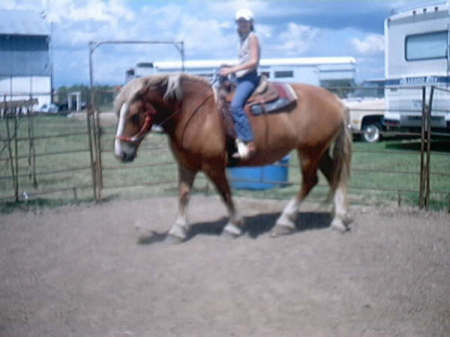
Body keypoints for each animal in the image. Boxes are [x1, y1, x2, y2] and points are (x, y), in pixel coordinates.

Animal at [112, 73, 352, 242]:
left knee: (310, 182)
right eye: (118, 114)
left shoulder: (213, 165)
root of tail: (335, 100)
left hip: (309, 151)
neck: (195, 114)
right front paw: (178, 229)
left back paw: (284, 222)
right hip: (319, 151)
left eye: (135, 115)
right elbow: (183, 195)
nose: (121, 153)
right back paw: (339, 219)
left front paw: (234, 225)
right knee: (333, 176)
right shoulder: (186, 165)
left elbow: (224, 193)